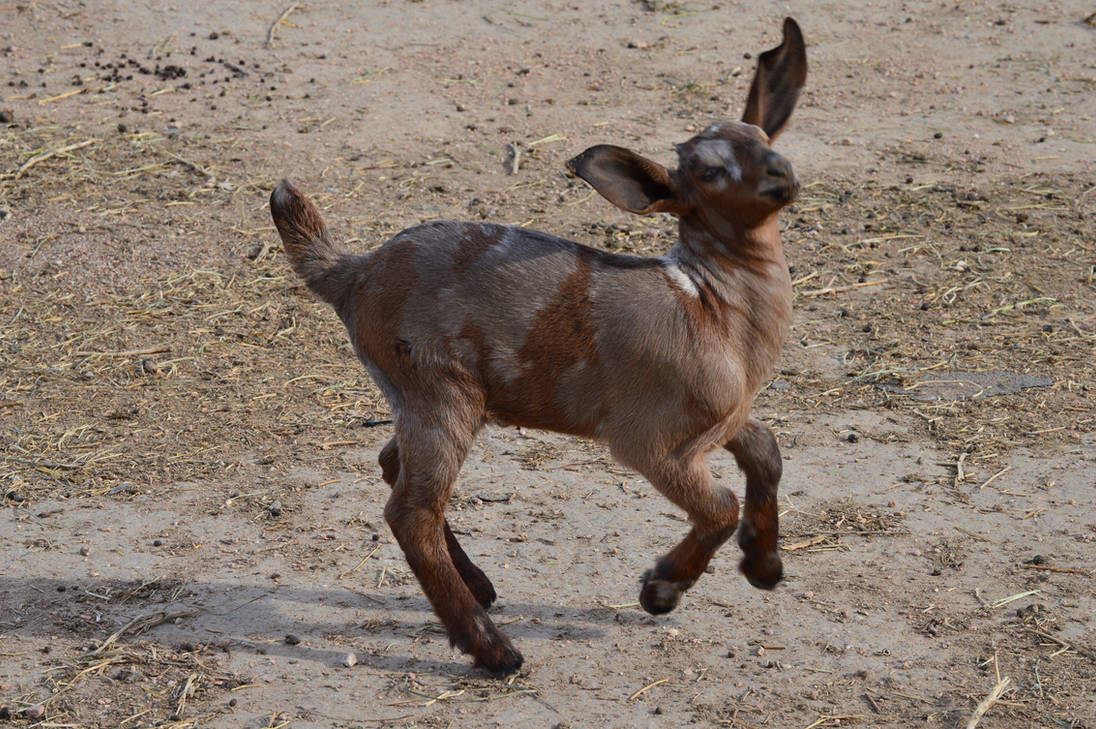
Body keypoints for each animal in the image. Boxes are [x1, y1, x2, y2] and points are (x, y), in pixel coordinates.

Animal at [270, 17, 807, 675]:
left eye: (762, 136)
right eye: (707, 171)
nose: (781, 173)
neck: (711, 305)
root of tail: (353, 271)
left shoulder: (722, 419)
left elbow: (767, 452)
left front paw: (764, 566)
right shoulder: (651, 441)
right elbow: (720, 505)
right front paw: (660, 590)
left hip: (427, 395)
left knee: (394, 469)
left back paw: (480, 588)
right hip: (438, 388)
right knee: (411, 511)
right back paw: (494, 649)